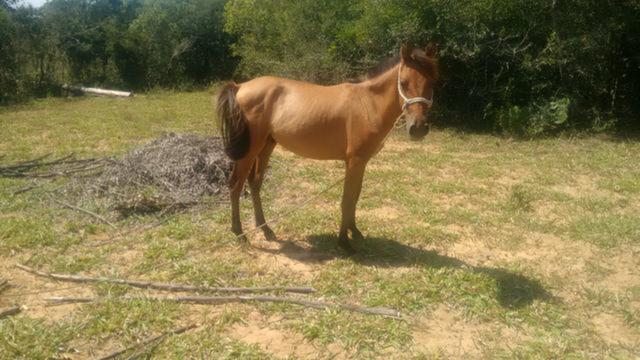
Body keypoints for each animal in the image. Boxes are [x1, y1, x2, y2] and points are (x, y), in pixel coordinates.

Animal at [218, 44, 438, 253]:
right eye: (404, 83)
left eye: (432, 83)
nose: (418, 128)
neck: (367, 104)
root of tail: (239, 86)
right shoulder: (355, 161)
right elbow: (347, 200)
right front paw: (344, 243)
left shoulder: (360, 163)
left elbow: (355, 197)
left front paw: (354, 232)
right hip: (249, 151)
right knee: (235, 186)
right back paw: (239, 233)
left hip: (266, 146)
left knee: (255, 184)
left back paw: (265, 229)